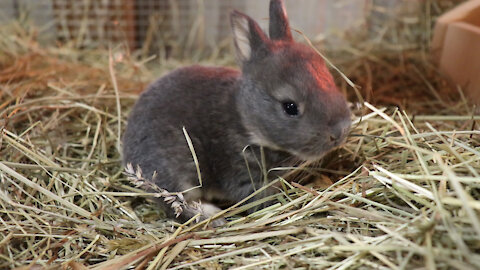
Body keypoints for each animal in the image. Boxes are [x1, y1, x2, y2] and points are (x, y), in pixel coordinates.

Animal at [122, 0, 350, 226]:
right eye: (290, 107)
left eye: (329, 78)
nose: (340, 132)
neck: (246, 120)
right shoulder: (244, 176)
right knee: (176, 204)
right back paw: (212, 216)